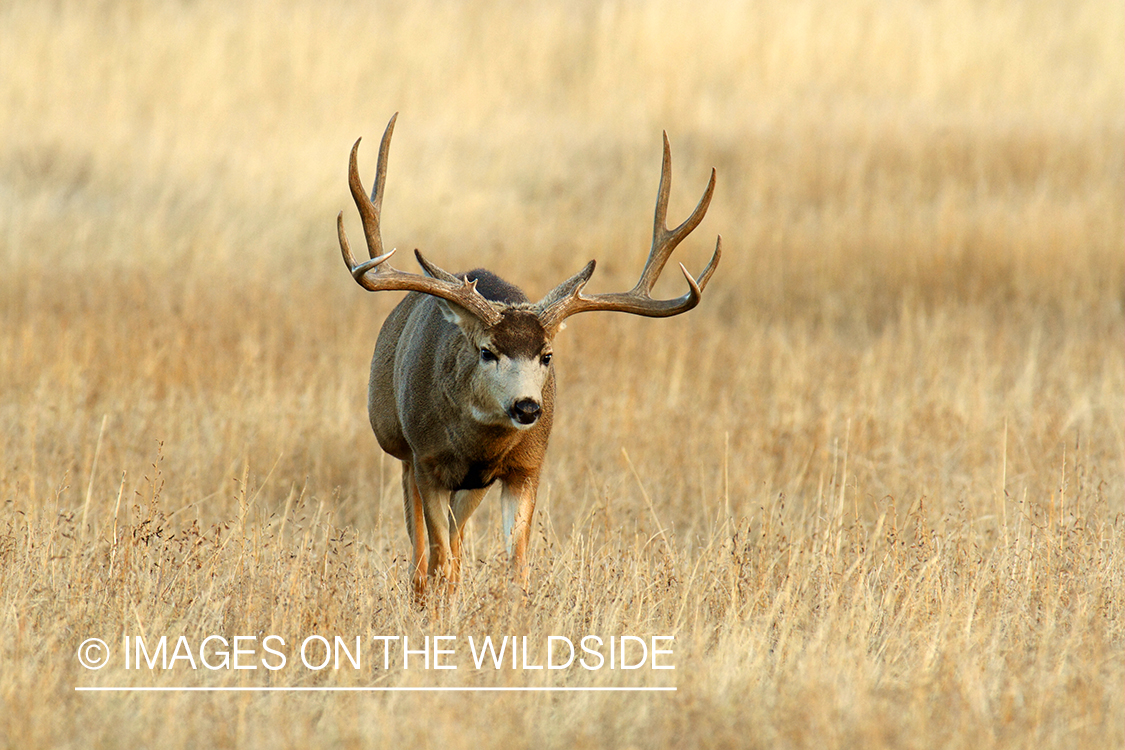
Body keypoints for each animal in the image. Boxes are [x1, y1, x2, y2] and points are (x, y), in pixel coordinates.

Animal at [337, 114, 721, 601]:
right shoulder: (427, 460)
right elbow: (437, 556)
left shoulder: (527, 466)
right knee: (423, 551)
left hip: (473, 484)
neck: (477, 447)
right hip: (402, 449)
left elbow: (516, 564)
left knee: (456, 539)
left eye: (547, 355)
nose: (527, 407)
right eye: (486, 351)